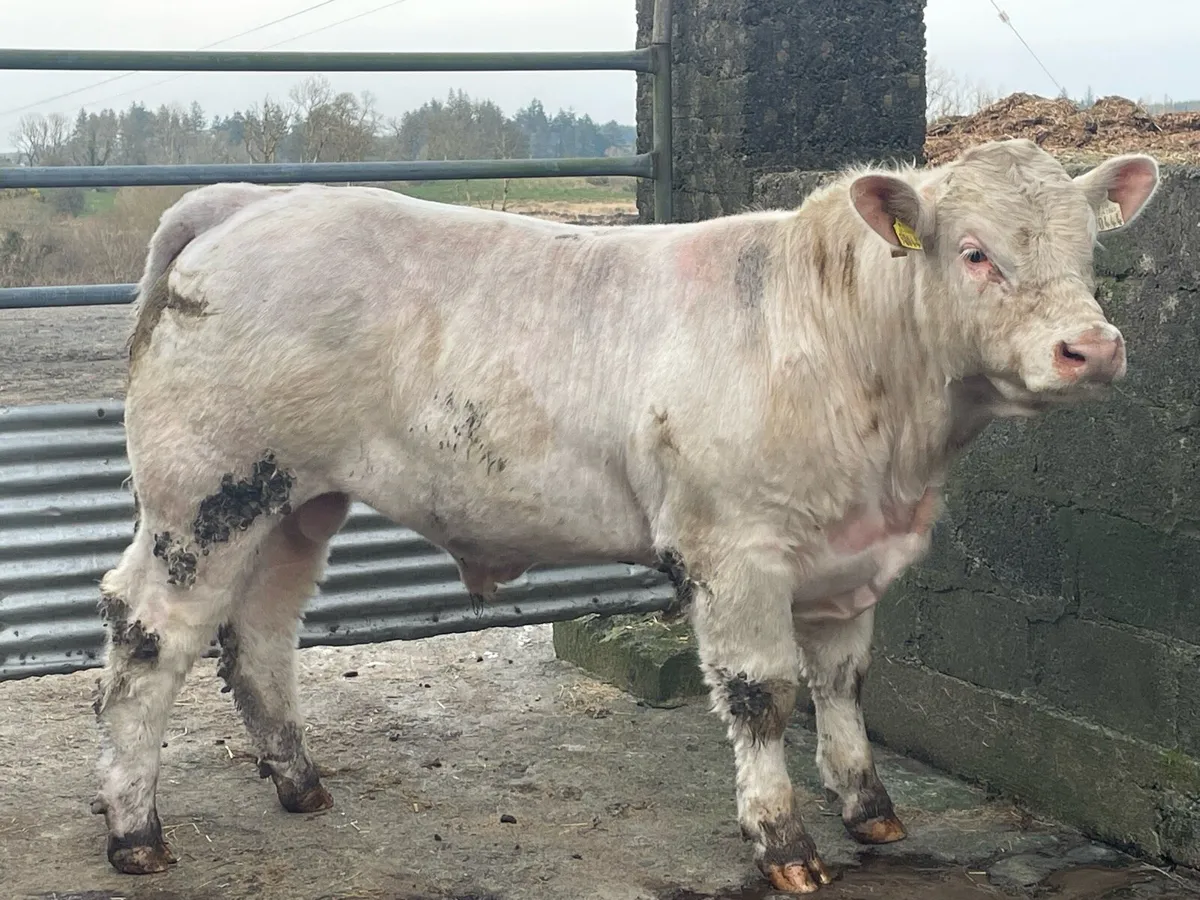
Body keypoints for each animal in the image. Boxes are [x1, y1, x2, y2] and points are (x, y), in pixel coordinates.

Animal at [89, 138, 1160, 894]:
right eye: (975, 253)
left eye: (1089, 250)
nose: (1092, 348)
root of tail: (251, 199)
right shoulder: (733, 549)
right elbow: (765, 695)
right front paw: (784, 841)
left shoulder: (851, 556)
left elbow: (845, 685)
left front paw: (872, 811)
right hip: (202, 494)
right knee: (150, 635)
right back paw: (135, 830)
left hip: (295, 502)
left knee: (262, 633)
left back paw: (299, 783)